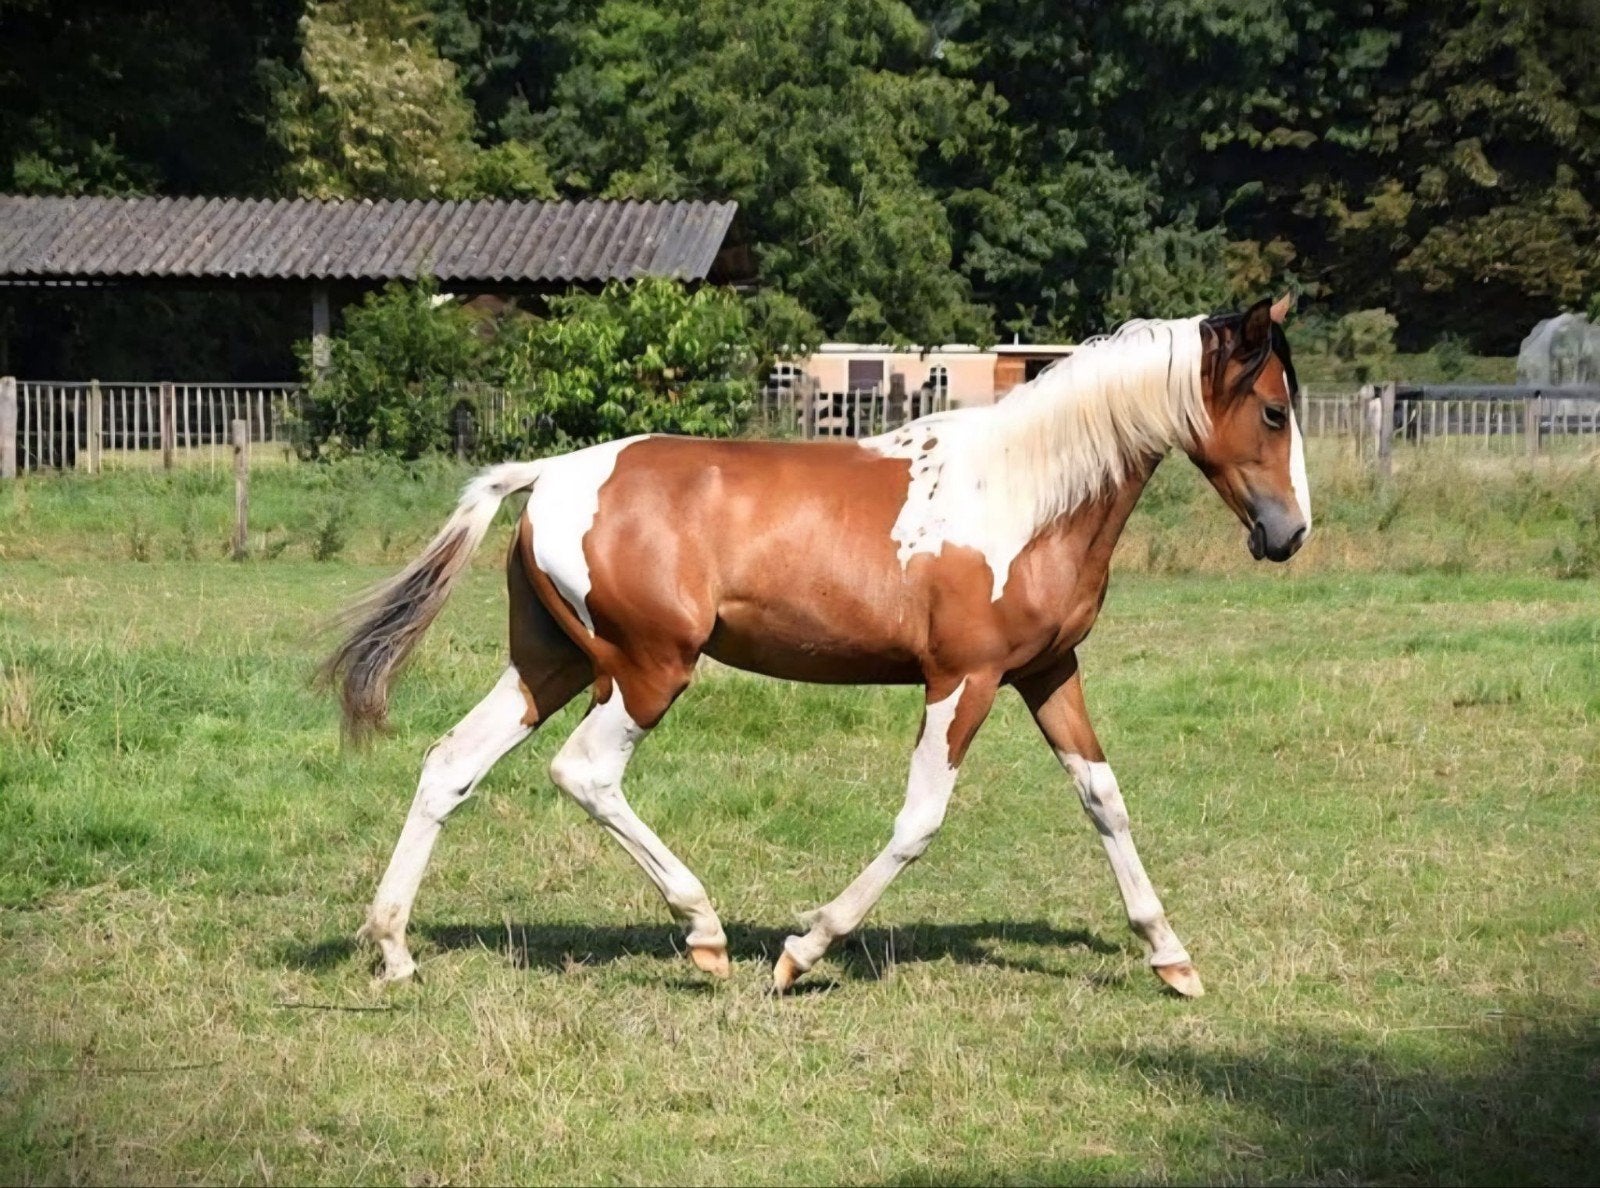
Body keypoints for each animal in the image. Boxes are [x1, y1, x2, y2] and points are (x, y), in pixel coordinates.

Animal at [324, 294, 1309, 998]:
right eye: (1271, 412)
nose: (1290, 533)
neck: (1024, 495)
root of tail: (547, 475)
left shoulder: (1045, 673)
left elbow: (1104, 800)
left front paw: (1171, 957)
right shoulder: (964, 679)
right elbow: (920, 821)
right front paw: (802, 951)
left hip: (552, 664)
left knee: (450, 763)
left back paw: (395, 950)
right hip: (647, 670)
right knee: (585, 772)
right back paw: (706, 934)